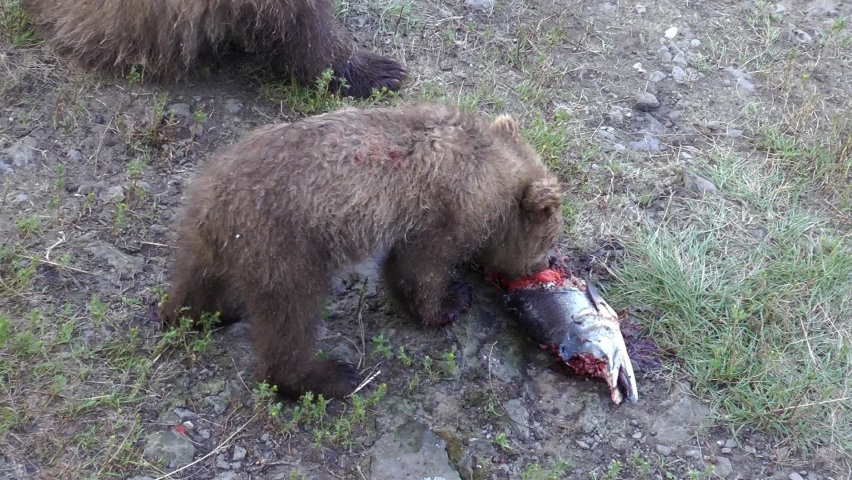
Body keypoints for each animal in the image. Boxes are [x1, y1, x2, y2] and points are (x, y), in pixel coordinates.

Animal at [161, 103, 564, 399]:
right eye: (548, 241)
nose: (543, 265)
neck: (495, 173)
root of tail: (217, 199)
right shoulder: (444, 206)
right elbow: (419, 266)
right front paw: (451, 302)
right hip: (286, 244)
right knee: (290, 316)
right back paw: (327, 375)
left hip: (207, 232)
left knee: (193, 281)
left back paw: (203, 311)